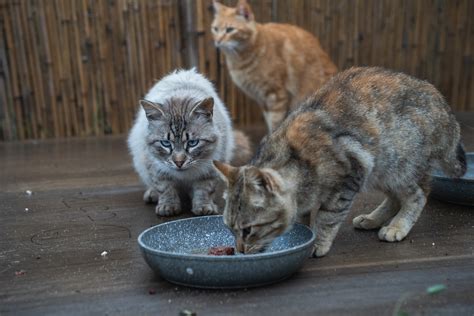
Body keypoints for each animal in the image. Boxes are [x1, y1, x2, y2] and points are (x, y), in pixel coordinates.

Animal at [126, 68, 252, 217]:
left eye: (193, 143)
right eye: (166, 143)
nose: (179, 162)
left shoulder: (210, 167)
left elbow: (204, 190)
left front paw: (204, 207)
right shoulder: (156, 167)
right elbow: (165, 188)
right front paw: (168, 207)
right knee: (152, 185)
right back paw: (152, 195)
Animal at [211, 0, 336, 132]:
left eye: (230, 30)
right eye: (215, 29)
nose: (217, 41)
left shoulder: (276, 96)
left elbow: (275, 122)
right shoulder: (263, 100)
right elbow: (268, 120)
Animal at [215, 66, 466, 256]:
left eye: (247, 230)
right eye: (229, 228)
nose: (240, 250)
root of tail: (443, 104)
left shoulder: (350, 175)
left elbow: (327, 217)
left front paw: (317, 242)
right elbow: (305, 216)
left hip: (396, 165)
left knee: (418, 194)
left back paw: (397, 226)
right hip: (379, 172)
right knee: (395, 198)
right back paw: (373, 219)